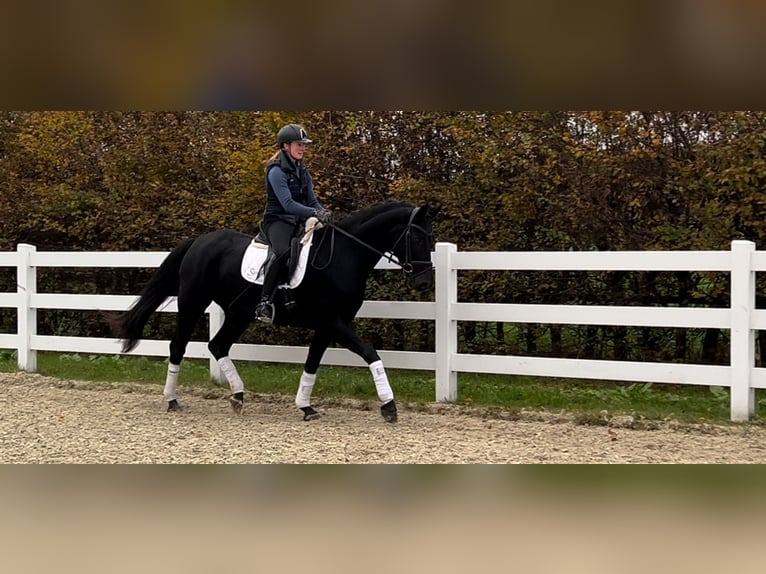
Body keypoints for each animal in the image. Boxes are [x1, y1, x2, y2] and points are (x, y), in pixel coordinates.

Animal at [106, 202, 438, 424]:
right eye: (417, 238)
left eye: (432, 239)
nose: (424, 282)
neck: (343, 256)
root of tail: (199, 242)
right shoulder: (334, 322)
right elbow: (371, 353)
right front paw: (389, 406)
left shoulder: (328, 326)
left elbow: (312, 364)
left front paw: (306, 407)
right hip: (193, 303)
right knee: (179, 347)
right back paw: (172, 400)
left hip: (238, 314)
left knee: (218, 345)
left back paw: (238, 396)